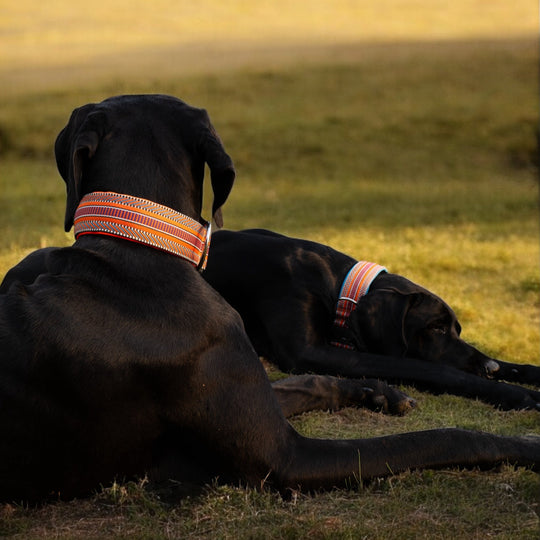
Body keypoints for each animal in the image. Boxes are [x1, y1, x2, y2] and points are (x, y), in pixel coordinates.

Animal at [201, 228, 540, 410]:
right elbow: (428, 367)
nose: (489, 370)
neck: (339, 287)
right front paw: (517, 393)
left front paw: (518, 371)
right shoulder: (307, 352)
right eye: (436, 328)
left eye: (457, 328)